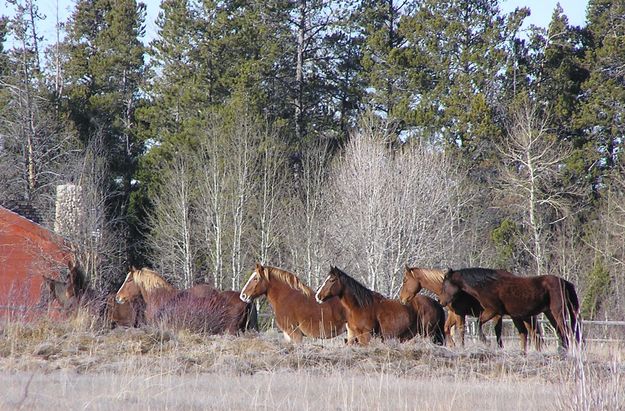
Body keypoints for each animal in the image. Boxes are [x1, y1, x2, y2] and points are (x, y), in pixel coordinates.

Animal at [438, 268, 580, 352]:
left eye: (445, 285)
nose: (441, 302)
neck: (487, 285)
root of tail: (564, 282)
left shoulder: (493, 311)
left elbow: (479, 323)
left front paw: (486, 341)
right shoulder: (513, 315)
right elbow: (522, 334)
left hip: (558, 312)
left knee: (566, 331)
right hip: (549, 313)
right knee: (560, 332)